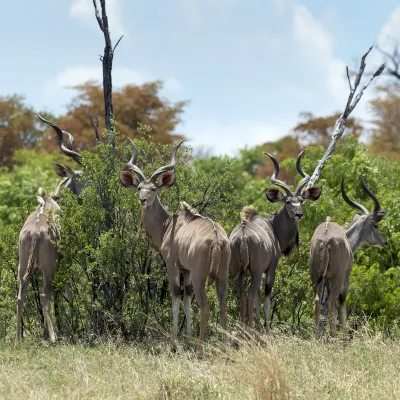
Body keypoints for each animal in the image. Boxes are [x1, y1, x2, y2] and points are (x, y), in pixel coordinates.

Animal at [119, 140, 230, 346]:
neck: (168, 224)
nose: (143, 200)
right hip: (222, 276)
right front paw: (187, 339)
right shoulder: (186, 270)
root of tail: (218, 240)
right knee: (223, 308)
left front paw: (175, 342)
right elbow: (186, 300)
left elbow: (176, 299)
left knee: (205, 308)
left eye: (153, 189)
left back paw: (200, 348)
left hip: (200, 276)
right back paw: (224, 347)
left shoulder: (172, 265)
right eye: (139, 188)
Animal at [228, 150, 322, 328]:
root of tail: (242, 237)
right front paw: (265, 328)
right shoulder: (270, 268)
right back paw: (249, 330)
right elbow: (266, 298)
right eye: (288, 201)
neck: (273, 226)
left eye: (301, 200)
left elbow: (258, 299)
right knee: (250, 296)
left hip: (237, 272)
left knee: (242, 296)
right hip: (256, 272)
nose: (299, 214)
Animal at [310, 176, 386, 338]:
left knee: (318, 301)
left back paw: (316, 336)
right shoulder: (345, 278)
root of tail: (324, 240)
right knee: (330, 301)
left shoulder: (326, 280)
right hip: (337, 277)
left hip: (316, 277)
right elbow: (342, 300)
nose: (384, 242)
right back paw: (334, 337)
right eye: (375, 225)